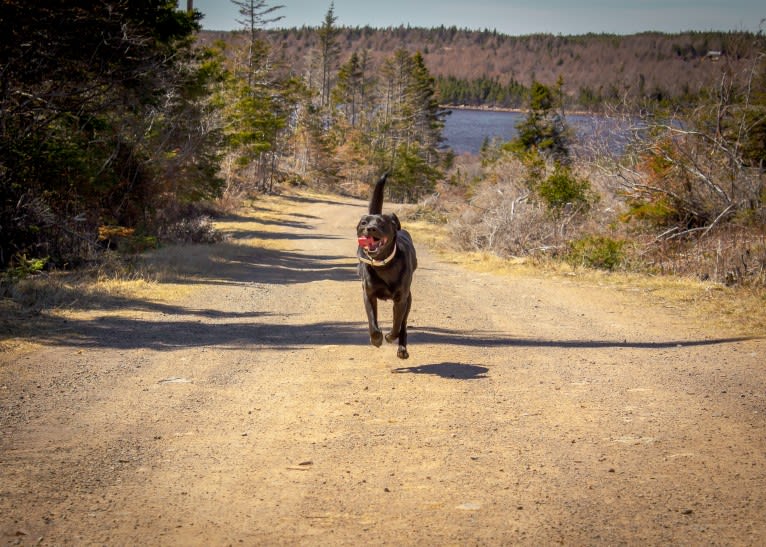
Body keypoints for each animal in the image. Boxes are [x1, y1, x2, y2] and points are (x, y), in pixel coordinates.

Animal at [356, 172, 416, 360]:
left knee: (403, 325)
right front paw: (376, 339)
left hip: (409, 300)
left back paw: (402, 349)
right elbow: (372, 322)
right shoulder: (368, 294)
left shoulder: (401, 299)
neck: (384, 265)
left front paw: (389, 336)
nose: (370, 229)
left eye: (382, 222)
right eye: (364, 223)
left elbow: (397, 324)